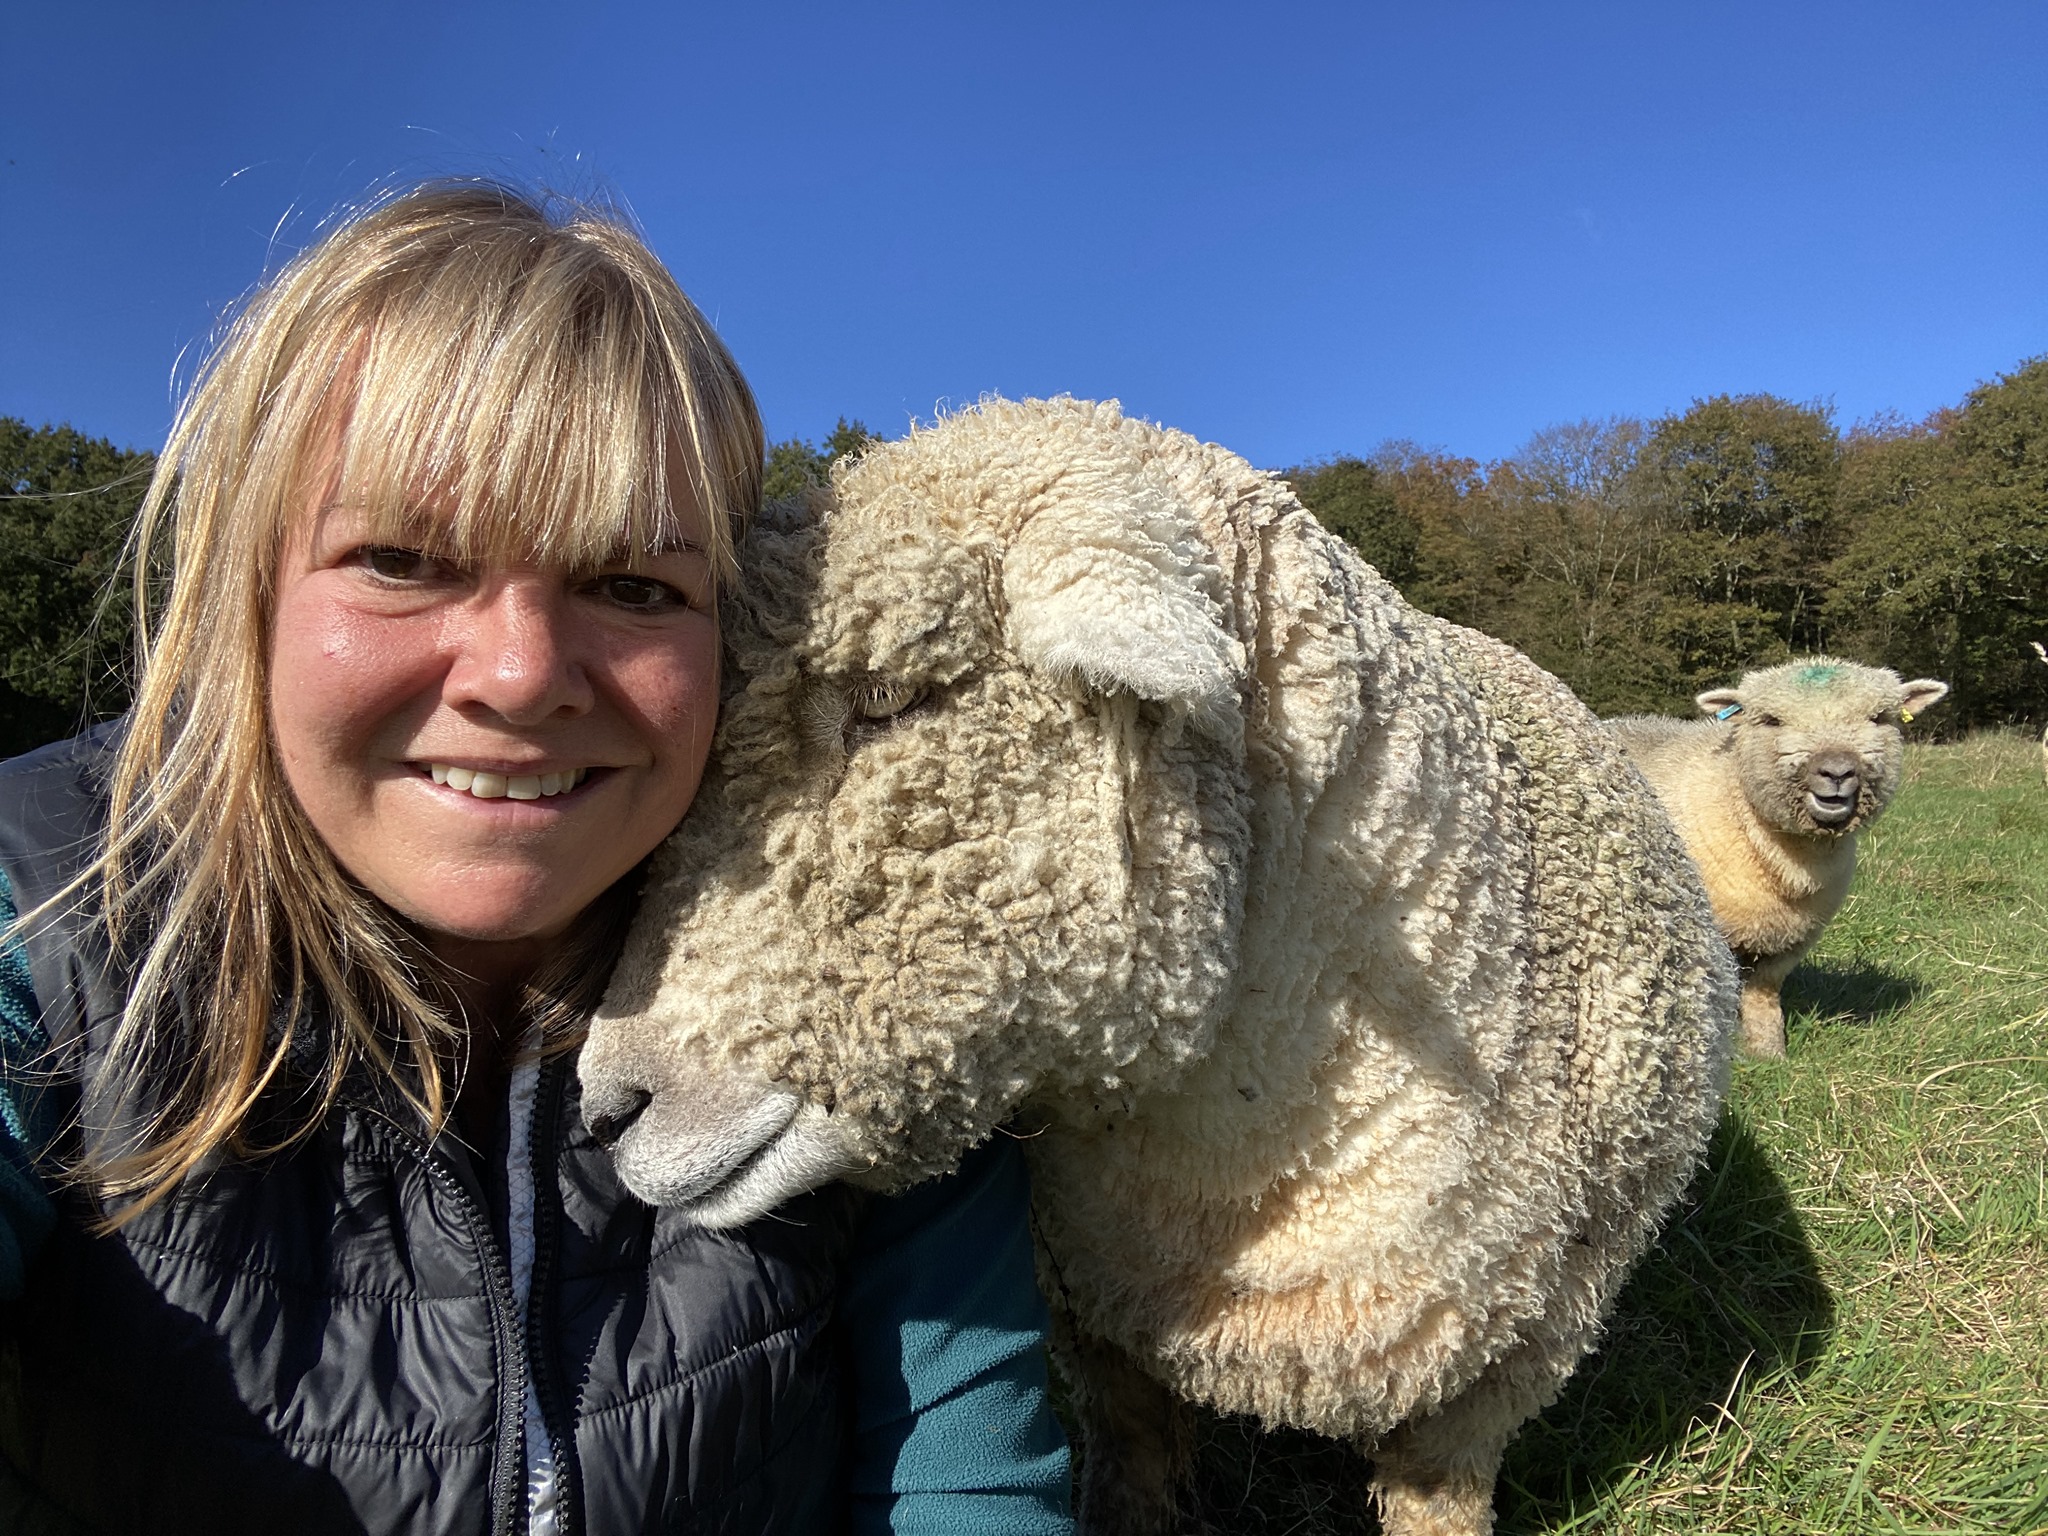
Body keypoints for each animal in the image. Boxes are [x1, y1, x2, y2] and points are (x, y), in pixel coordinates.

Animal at [580, 397, 1738, 1536]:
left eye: (884, 700)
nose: (605, 1107)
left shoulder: (1497, 1372)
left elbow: (1436, 1501)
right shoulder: (1093, 1310)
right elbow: (1131, 1455)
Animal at [1608, 659, 1948, 1059]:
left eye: (1879, 718)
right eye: (1771, 720)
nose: (1836, 770)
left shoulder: (1789, 938)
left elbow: (1763, 995)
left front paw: (1769, 1054)